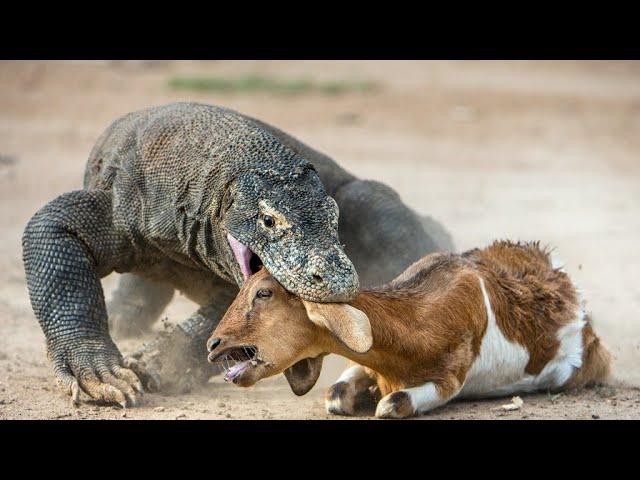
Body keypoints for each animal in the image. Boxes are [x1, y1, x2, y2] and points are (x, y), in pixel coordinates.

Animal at [206, 240, 608, 416]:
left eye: (264, 293)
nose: (213, 344)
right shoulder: (365, 363)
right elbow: (335, 394)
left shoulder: (448, 379)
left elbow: (392, 404)